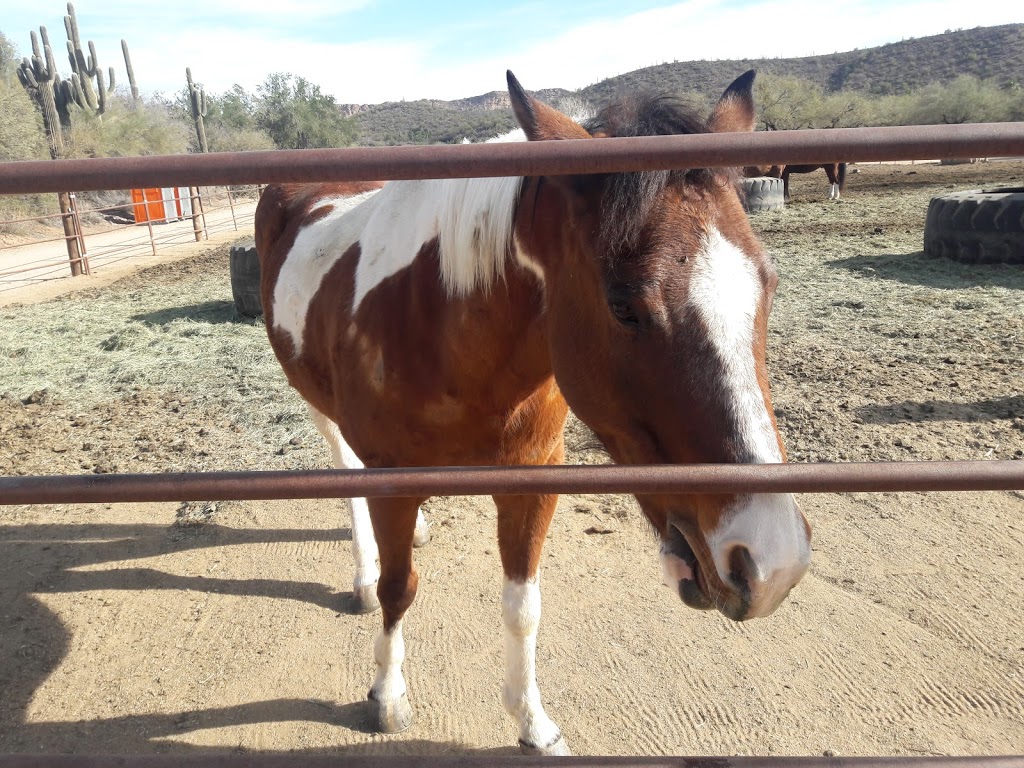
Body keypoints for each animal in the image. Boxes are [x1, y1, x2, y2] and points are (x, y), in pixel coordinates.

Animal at [253, 69, 806, 753]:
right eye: (624, 305)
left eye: (768, 285)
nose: (772, 560)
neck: (442, 323)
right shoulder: (393, 480)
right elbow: (398, 589)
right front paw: (387, 693)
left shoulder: (533, 476)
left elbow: (523, 608)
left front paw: (533, 723)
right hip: (321, 407)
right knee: (346, 469)